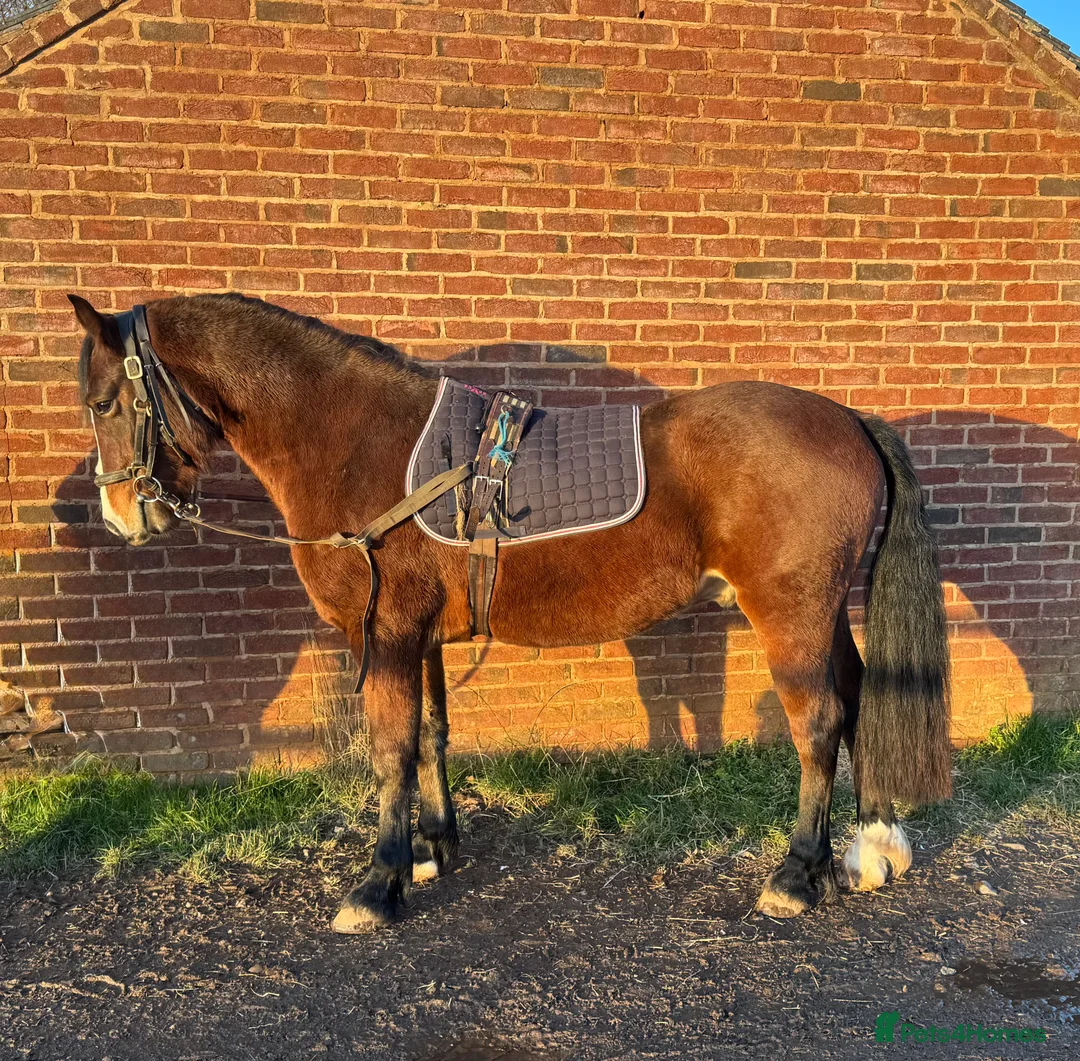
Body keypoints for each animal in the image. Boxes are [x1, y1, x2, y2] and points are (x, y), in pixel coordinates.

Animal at [70, 292, 951, 933]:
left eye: (107, 399)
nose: (120, 516)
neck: (357, 439)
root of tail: (848, 419)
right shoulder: (420, 634)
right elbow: (431, 734)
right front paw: (434, 847)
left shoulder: (385, 633)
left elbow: (389, 749)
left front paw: (378, 884)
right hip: (825, 614)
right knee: (863, 698)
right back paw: (870, 849)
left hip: (790, 614)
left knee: (819, 724)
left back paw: (795, 875)